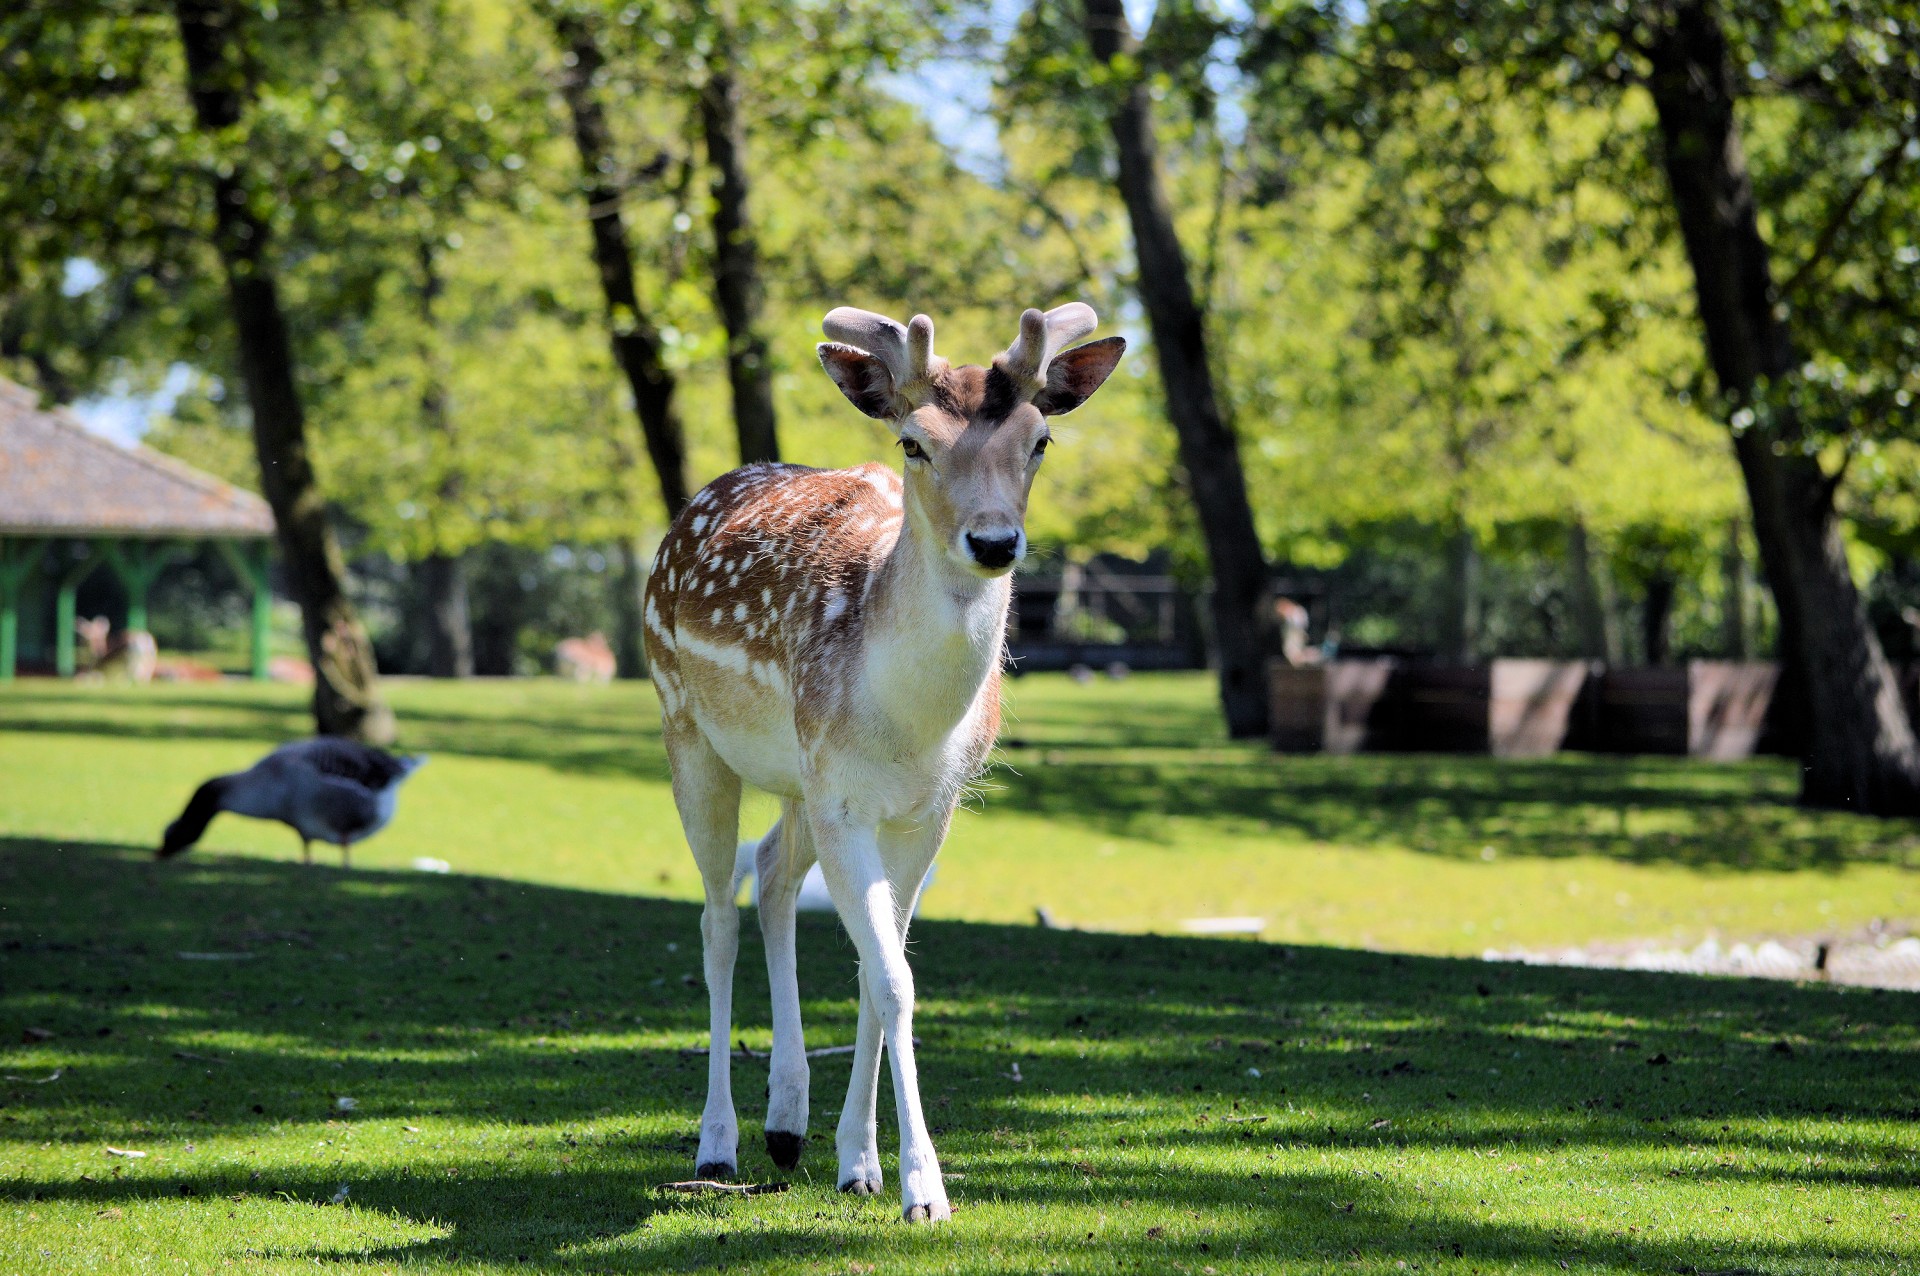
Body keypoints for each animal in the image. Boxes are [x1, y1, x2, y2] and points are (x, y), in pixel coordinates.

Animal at [648, 299, 1121, 1212]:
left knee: (771, 872)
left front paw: (861, 1164)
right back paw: (717, 1143)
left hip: (797, 780)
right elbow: (894, 978)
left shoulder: (927, 811)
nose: (994, 542)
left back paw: (786, 1125)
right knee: (717, 915)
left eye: (1040, 440)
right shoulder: (844, 800)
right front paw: (925, 1190)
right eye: (914, 443)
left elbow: (879, 969)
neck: (909, 726)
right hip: (688, 730)